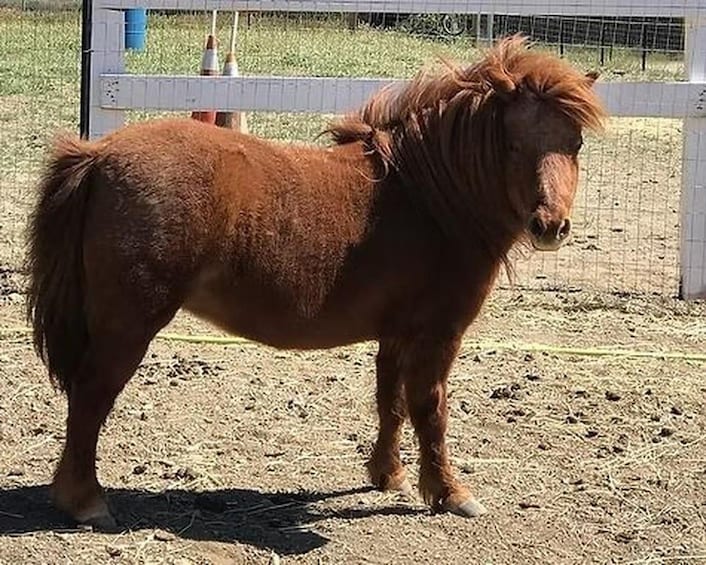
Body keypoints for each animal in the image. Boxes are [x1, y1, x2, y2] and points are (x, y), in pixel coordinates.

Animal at [26, 36, 605, 530]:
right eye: (511, 143)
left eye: (575, 143)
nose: (550, 226)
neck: (424, 198)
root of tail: (98, 154)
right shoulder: (438, 334)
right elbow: (430, 409)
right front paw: (449, 492)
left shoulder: (396, 334)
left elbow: (390, 401)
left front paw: (388, 475)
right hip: (128, 326)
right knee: (91, 396)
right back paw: (85, 501)